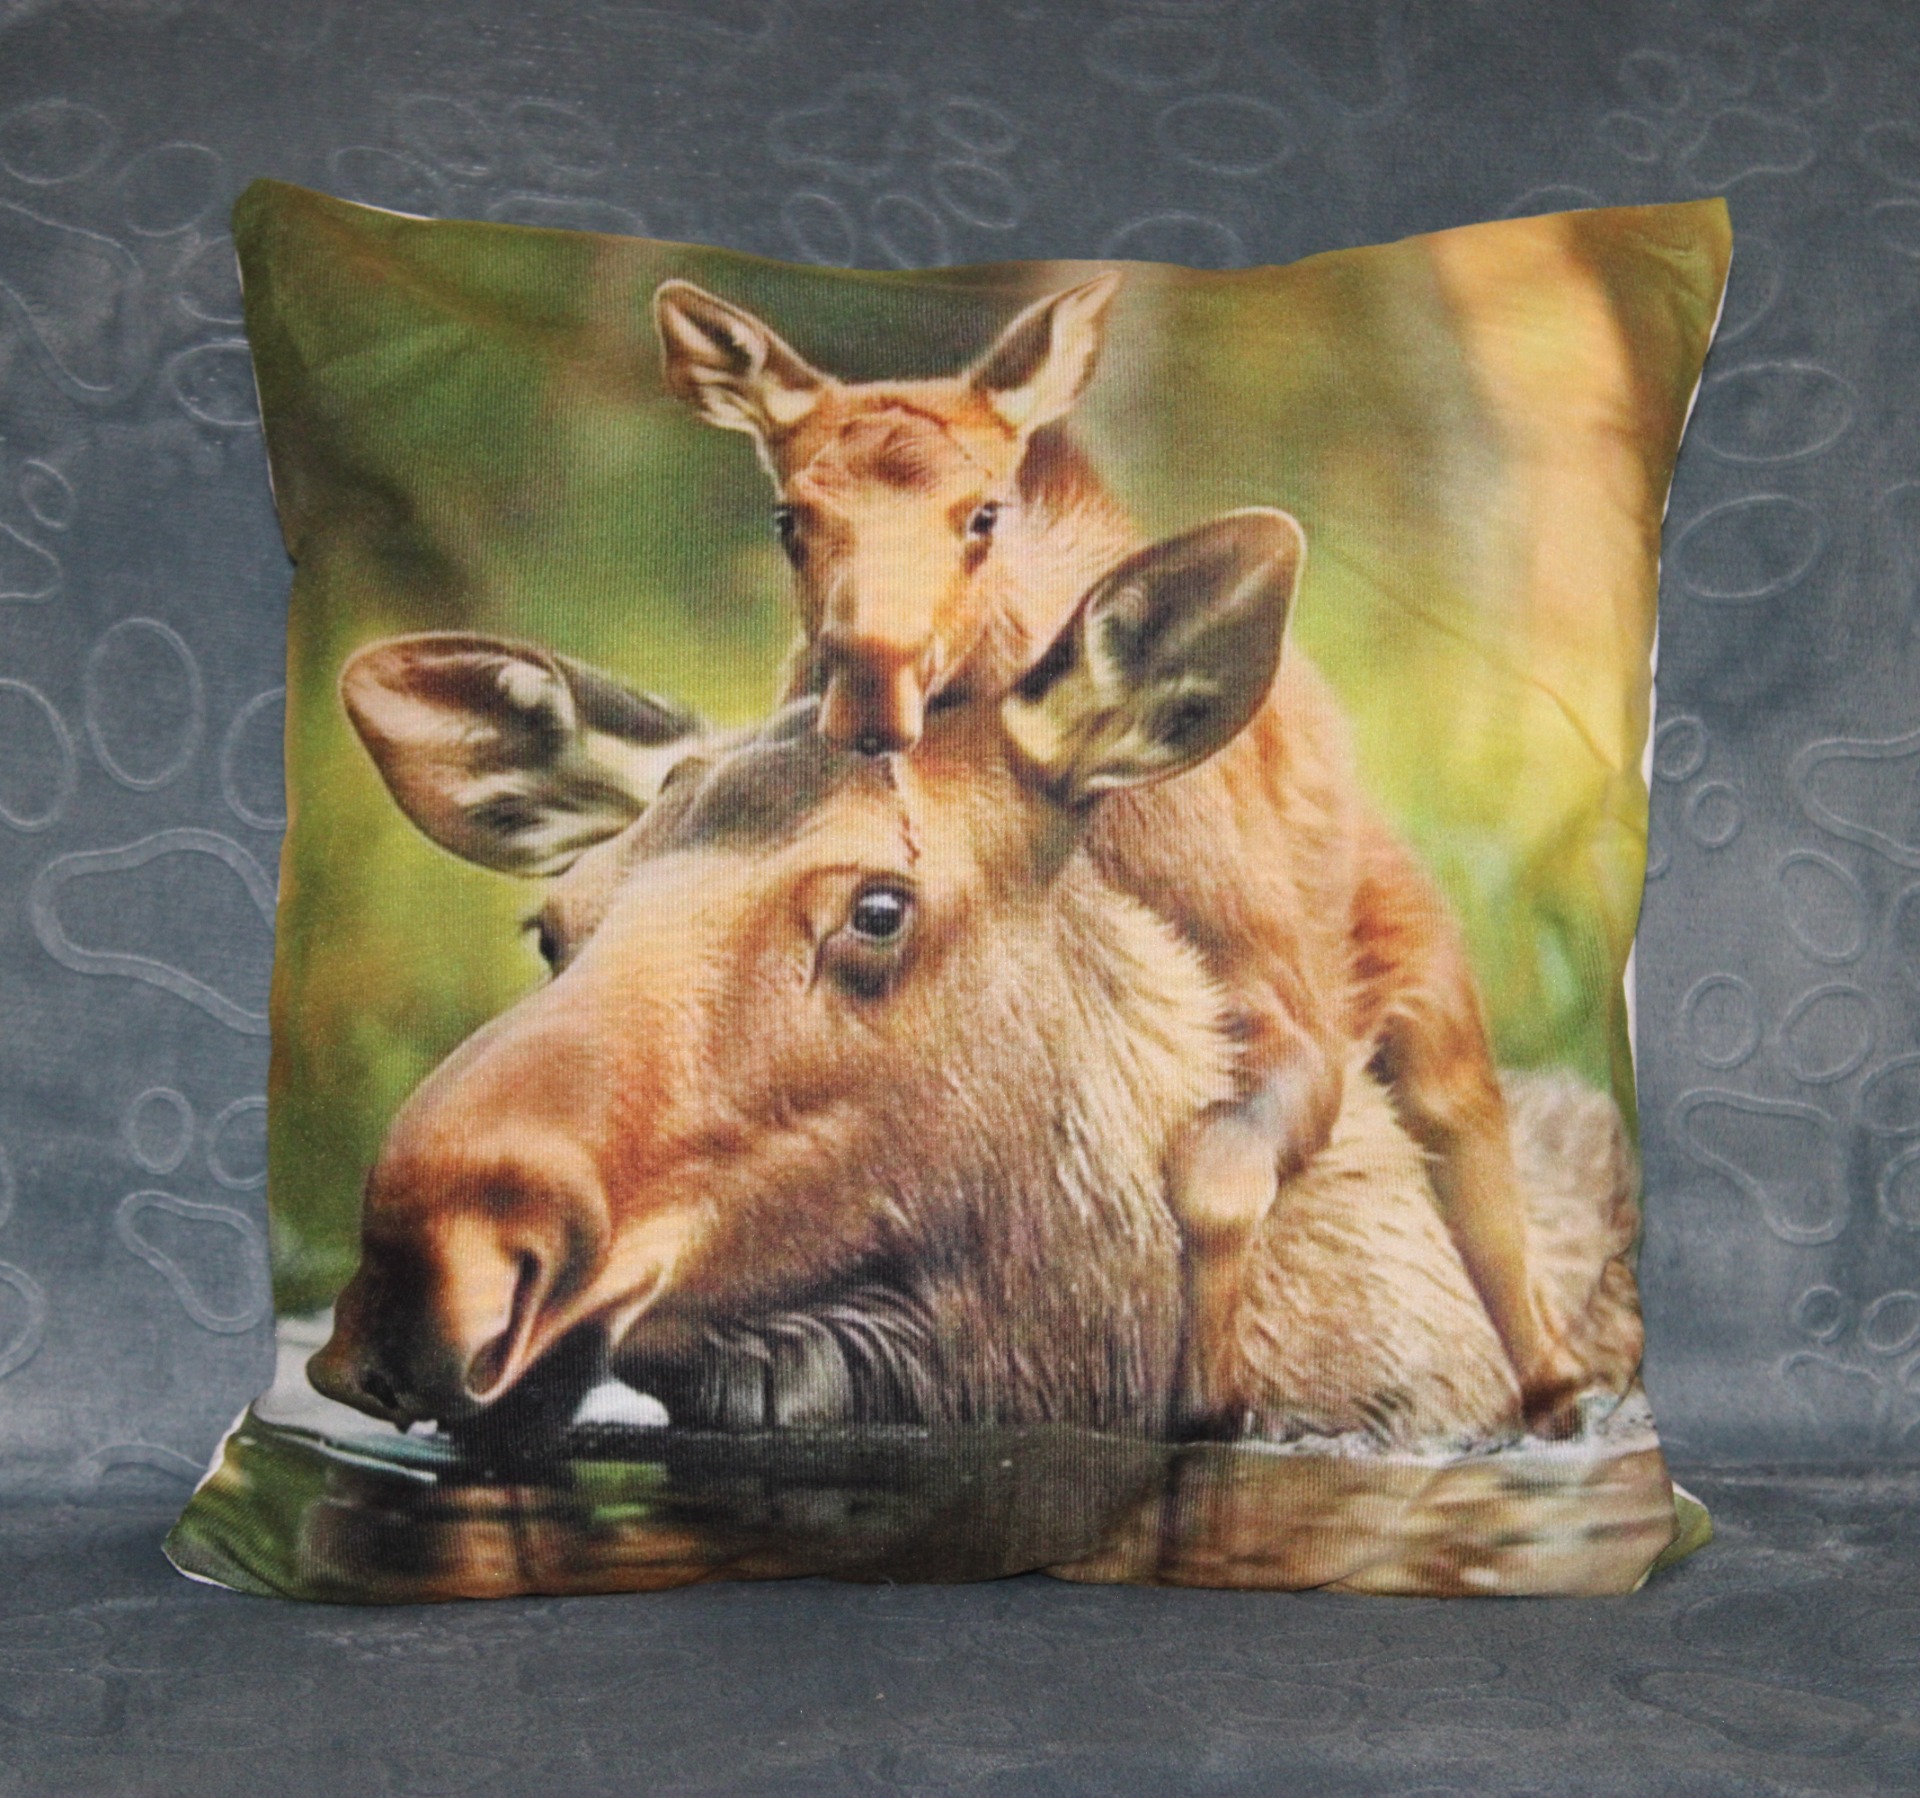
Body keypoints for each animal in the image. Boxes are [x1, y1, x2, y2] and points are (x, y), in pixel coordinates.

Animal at [652, 272, 1589, 1427]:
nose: (871, 684)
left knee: (1502, 1237)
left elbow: (1215, 1177)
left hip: (1435, 1018)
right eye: (790, 517)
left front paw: (1213, 1391)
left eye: (983, 514)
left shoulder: (1293, 1015)